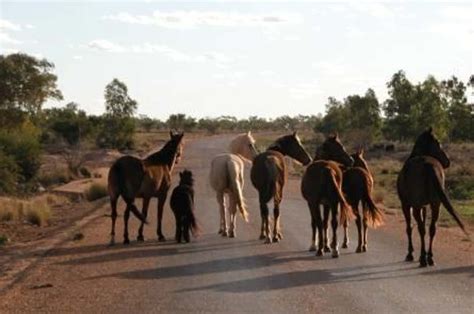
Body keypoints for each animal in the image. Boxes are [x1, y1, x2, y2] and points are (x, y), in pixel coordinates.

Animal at [398, 127, 468, 268]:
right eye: (438, 143)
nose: (447, 161)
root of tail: (428, 164)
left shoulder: (406, 205)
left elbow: (409, 227)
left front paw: (410, 254)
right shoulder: (424, 206)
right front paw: (421, 254)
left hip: (417, 205)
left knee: (421, 229)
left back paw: (423, 259)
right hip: (436, 204)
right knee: (431, 229)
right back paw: (429, 258)